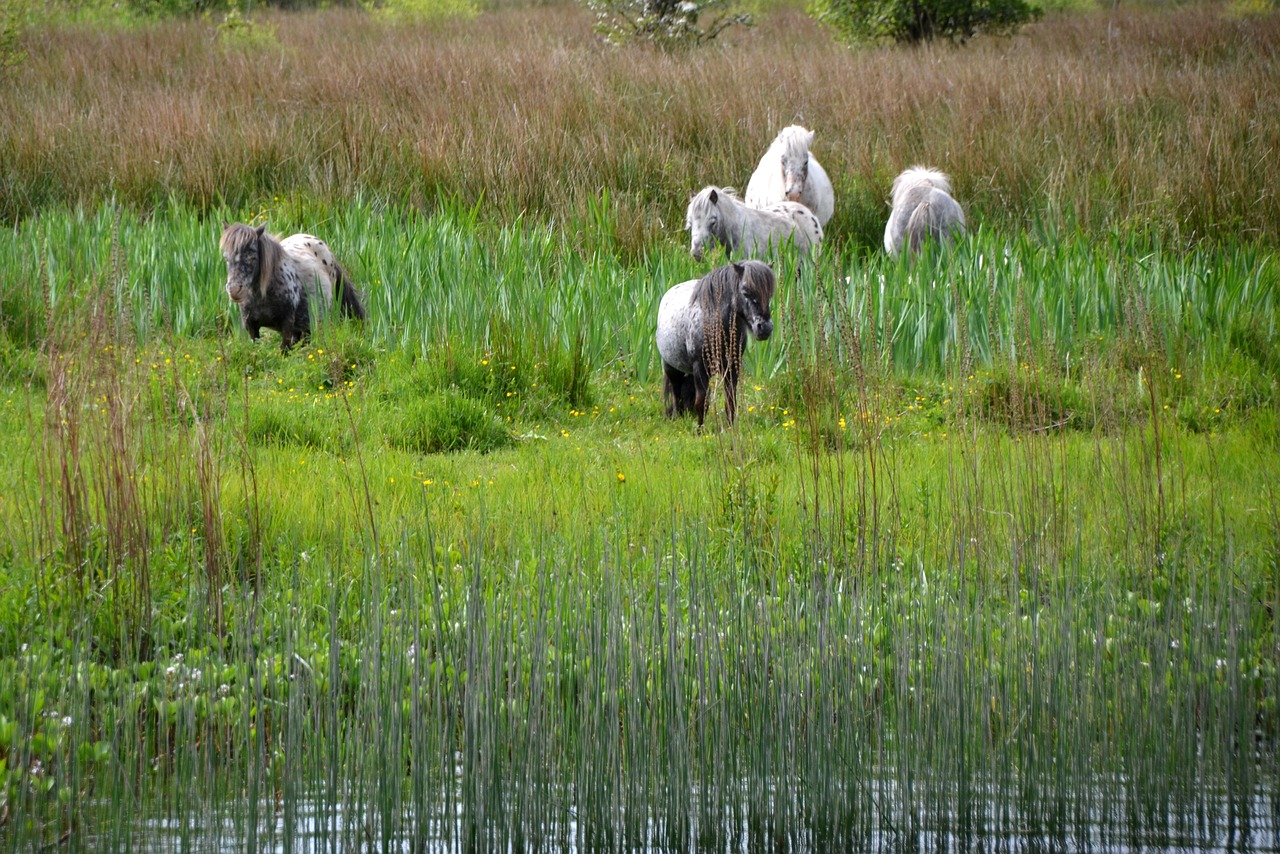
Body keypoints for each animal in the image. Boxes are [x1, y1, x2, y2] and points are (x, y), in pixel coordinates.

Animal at [655, 258, 773, 427]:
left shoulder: (732, 367)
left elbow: (730, 401)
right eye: (745, 292)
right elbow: (701, 402)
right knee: (675, 391)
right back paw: (677, 416)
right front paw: (700, 430)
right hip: (671, 367)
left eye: (770, 294)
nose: (765, 328)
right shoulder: (700, 367)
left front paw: (731, 428)